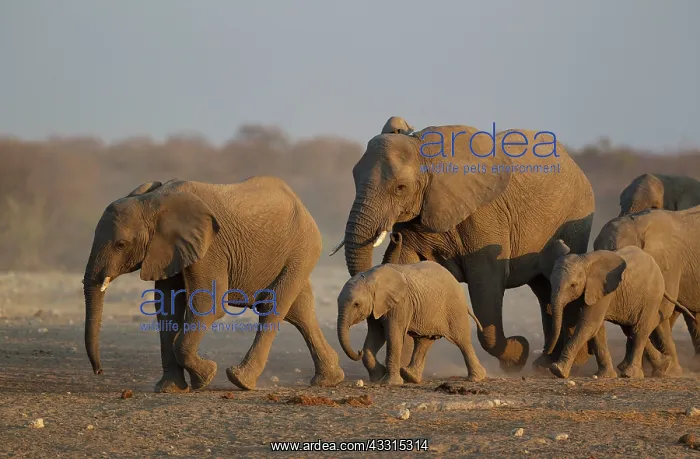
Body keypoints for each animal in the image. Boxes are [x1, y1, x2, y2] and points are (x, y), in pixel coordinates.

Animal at [82, 176, 345, 392]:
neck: (152, 202)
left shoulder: (210, 249)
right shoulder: (169, 250)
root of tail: (300, 202)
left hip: (303, 248)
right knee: (300, 311)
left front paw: (205, 377)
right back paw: (329, 380)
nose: (99, 371)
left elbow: (208, 304)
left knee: (273, 308)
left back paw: (241, 380)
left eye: (121, 245)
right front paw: (169, 389)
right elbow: (167, 308)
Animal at [336, 261, 487, 385]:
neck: (370, 277)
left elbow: (393, 336)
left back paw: (476, 378)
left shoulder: (400, 304)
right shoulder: (377, 307)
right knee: (424, 341)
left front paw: (390, 383)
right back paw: (410, 376)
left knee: (462, 341)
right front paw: (378, 377)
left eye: (356, 304)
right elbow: (375, 336)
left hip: (454, 308)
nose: (358, 351)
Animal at [539, 240, 695, 379]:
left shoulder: (602, 290)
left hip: (652, 296)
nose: (547, 351)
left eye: (573, 285)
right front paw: (605, 376)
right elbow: (597, 330)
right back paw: (662, 366)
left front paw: (558, 370)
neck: (585, 260)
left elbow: (589, 324)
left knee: (639, 330)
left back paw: (631, 374)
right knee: (630, 329)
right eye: (550, 282)